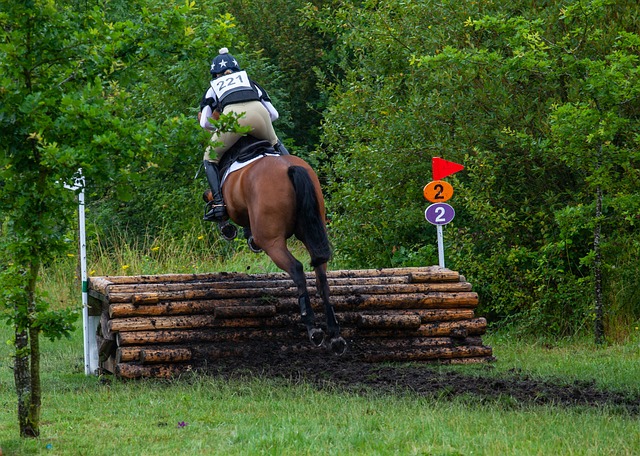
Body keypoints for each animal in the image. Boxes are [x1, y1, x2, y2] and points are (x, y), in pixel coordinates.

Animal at [204, 137, 344, 354]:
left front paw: (225, 225)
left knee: (296, 269)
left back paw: (312, 327)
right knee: (321, 275)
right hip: (313, 229)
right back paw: (335, 335)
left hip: (272, 242)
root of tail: (290, 168)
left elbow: (214, 197)